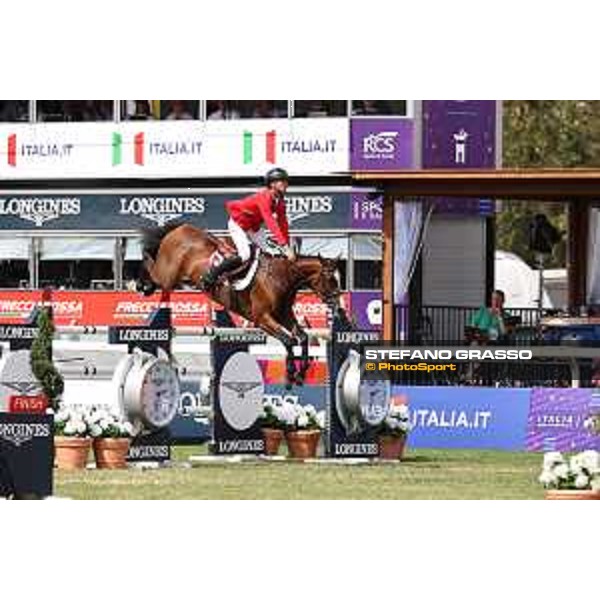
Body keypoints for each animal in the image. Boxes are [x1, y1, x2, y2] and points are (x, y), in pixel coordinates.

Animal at [138, 220, 350, 384]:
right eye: (330, 279)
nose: (339, 307)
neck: (282, 278)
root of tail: (180, 229)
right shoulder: (262, 319)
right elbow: (289, 340)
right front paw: (290, 375)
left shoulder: (284, 315)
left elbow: (303, 337)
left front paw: (301, 373)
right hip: (168, 276)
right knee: (151, 266)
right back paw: (142, 283)